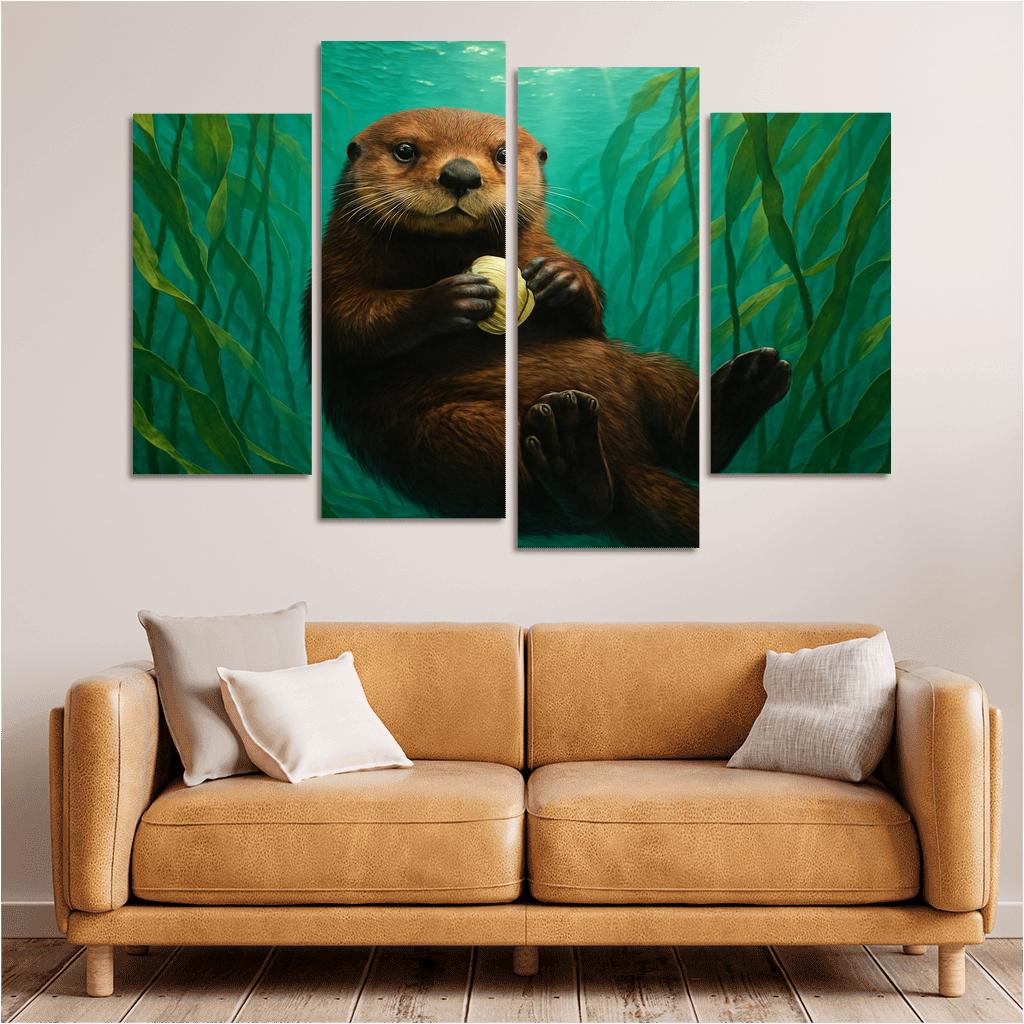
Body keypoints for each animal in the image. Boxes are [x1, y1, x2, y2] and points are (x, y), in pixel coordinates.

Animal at [309, 107, 790, 545]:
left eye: (503, 153)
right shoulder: (332, 272)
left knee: (680, 434)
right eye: (406, 150)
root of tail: (629, 461)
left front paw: (564, 279)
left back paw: (742, 388)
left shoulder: (543, 248)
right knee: (564, 499)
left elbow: (592, 318)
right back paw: (571, 451)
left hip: (648, 371)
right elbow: (347, 322)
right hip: (450, 435)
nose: (461, 174)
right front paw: (449, 297)